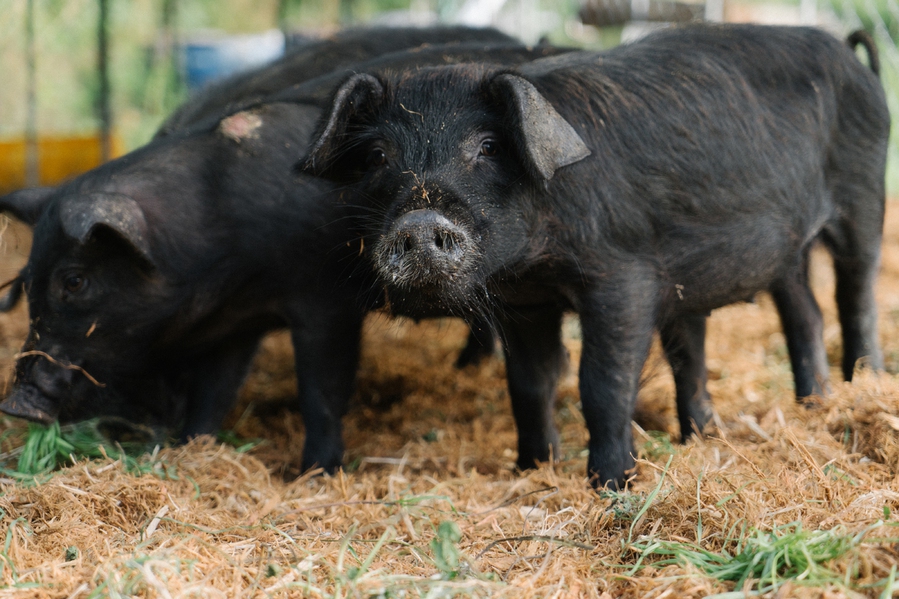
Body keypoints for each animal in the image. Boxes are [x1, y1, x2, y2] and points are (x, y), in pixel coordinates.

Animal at [304, 25, 892, 490]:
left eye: (488, 147)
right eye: (378, 156)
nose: (420, 223)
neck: (537, 262)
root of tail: (849, 54)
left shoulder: (621, 275)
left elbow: (602, 383)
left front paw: (611, 484)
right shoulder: (526, 302)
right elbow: (530, 384)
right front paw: (531, 470)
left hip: (864, 193)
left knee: (856, 296)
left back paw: (863, 385)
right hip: (786, 251)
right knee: (805, 314)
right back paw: (801, 409)